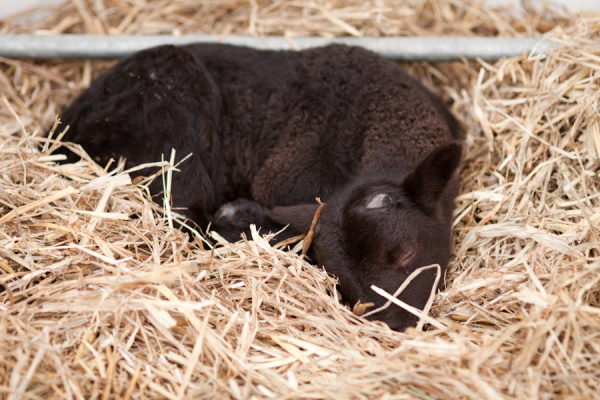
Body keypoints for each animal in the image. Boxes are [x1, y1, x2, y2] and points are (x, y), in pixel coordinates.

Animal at [54, 43, 462, 332]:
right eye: (340, 281)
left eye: (407, 253)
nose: (393, 327)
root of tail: (61, 132)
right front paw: (244, 218)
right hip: (170, 124)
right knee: (186, 219)